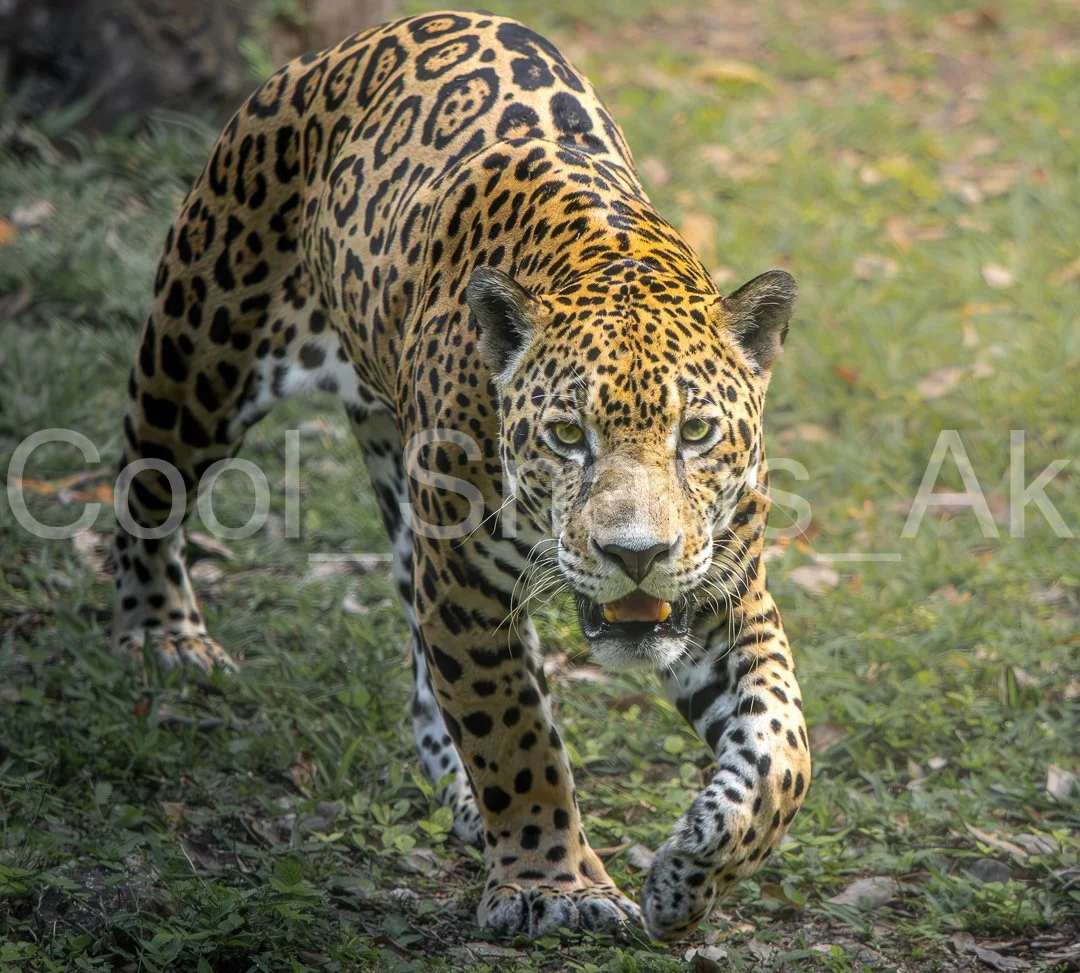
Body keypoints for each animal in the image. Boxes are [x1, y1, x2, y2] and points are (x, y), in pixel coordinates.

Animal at [110, 10, 812, 941]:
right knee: (144, 484)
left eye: (695, 433)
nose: (636, 554)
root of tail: (344, 46)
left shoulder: (726, 593)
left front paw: (691, 869)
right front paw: (558, 886)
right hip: (201, 352)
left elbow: (784, 747)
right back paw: (161, 636)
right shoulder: (468, 587)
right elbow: (516, 737)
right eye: (567, 435)